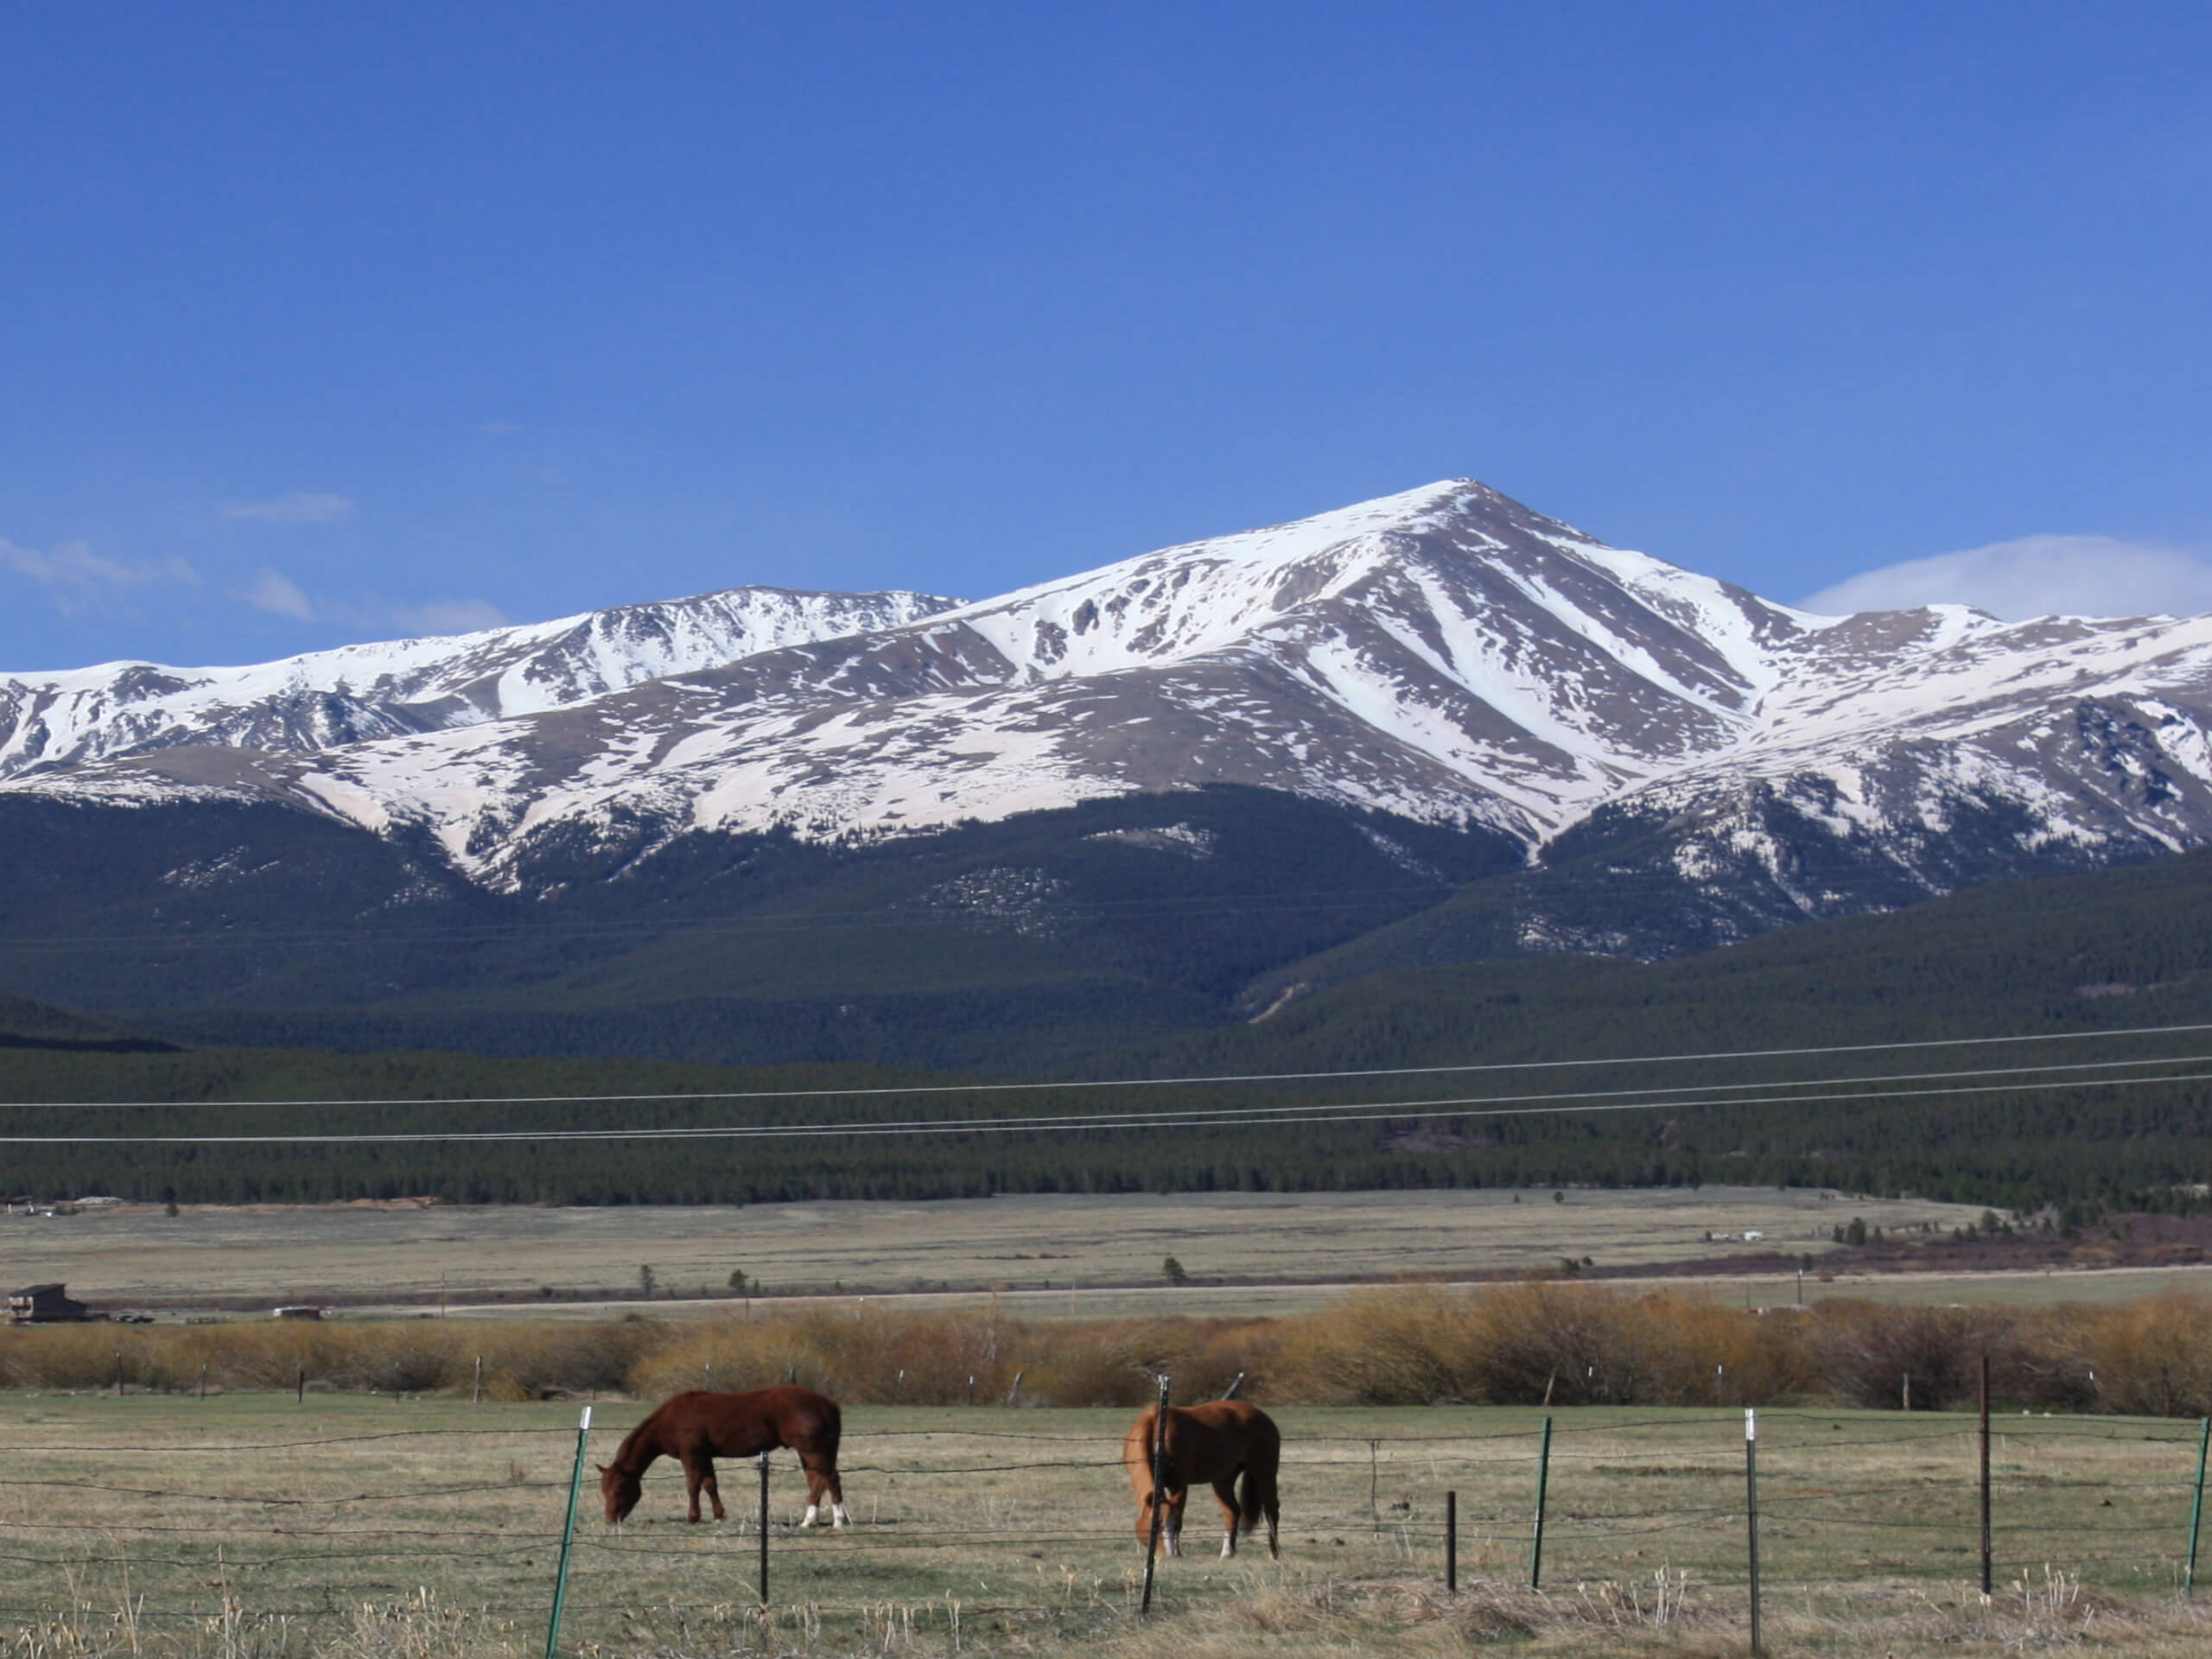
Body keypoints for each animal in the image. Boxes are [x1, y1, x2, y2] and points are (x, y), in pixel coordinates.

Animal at [601, 1389, 849, 1530]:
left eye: (618, 1490)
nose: (610, 1520)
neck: (672, 1419)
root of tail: (827, 1403)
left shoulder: (691, 1456)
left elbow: (693, 1485)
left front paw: (692, 1517)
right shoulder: (705, 1457)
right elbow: (710, 1484)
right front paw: (718, 1516)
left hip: (813, 1451)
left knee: (830, 1479)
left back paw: (838, 1520)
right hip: (810, 1453)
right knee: (817, 1481)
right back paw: (810, 1520)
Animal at [1123, 1407, 1282, 1557]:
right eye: (1156, 1525)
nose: (1169, 1555)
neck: (1158, 1430)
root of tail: (1262, 1416)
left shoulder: (1179, 1484)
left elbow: (1179, 1518)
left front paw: (1178, 1552)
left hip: (1264, 1472)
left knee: (1271, 1510)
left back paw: (1274, 1554)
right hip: (1223, 1480)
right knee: (1232, 1511)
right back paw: (1227, 1553)